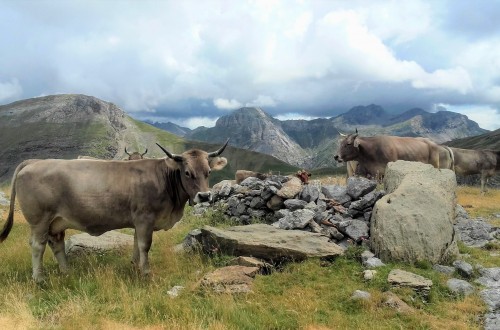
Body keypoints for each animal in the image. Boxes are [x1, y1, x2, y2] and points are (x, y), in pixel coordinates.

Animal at [0, 139, 229, 282]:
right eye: (187, 172)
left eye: (208, 172)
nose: (204, 196)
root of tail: (34, 162)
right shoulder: (145, 217)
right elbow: (145, 245)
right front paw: (146, 273)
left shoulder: (139, 221)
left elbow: (136, 244)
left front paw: (135, 266)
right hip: (39, 219)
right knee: (37, 246)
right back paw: (39, 278)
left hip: (57, 221)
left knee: (56, 244)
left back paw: (66, 272)